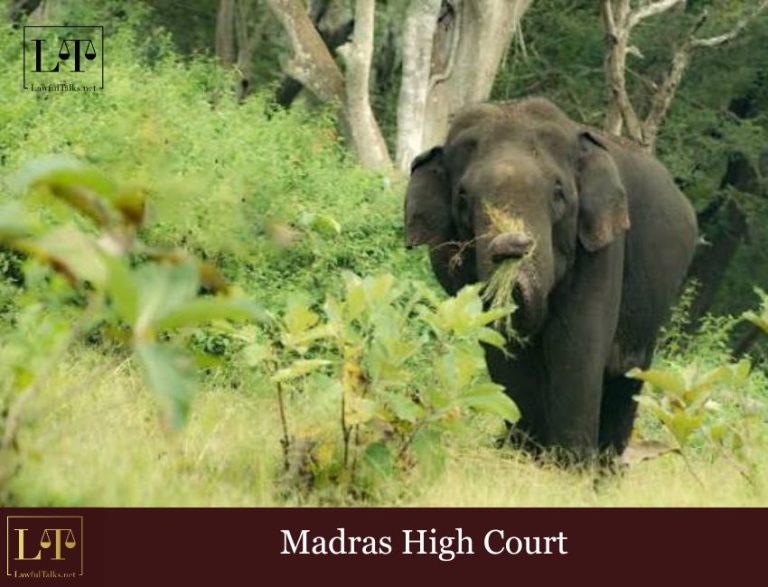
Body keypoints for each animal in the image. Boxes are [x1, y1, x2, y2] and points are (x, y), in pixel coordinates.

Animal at [404, 97, 698, 462]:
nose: (512, 244)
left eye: (558, 192)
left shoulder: (602, 247)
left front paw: (570, 467)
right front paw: (527, 456)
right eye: (462, 197)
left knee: (628, 374)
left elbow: (577, 342)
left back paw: (606, 470)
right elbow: (506, 348)